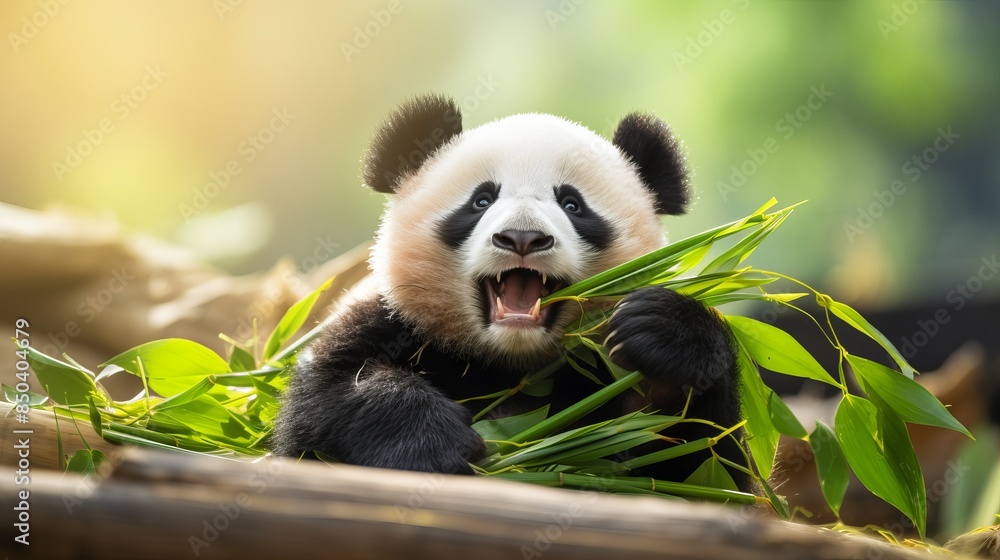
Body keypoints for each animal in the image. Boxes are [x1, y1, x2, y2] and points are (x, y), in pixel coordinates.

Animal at [272, 94, 750, 492]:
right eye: (481, 200)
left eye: (572, 205)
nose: (523, 237)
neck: (509, 360)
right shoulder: (394, 321)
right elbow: (326, 400)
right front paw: (435, 444)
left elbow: (705, 466)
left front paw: (664, 334)